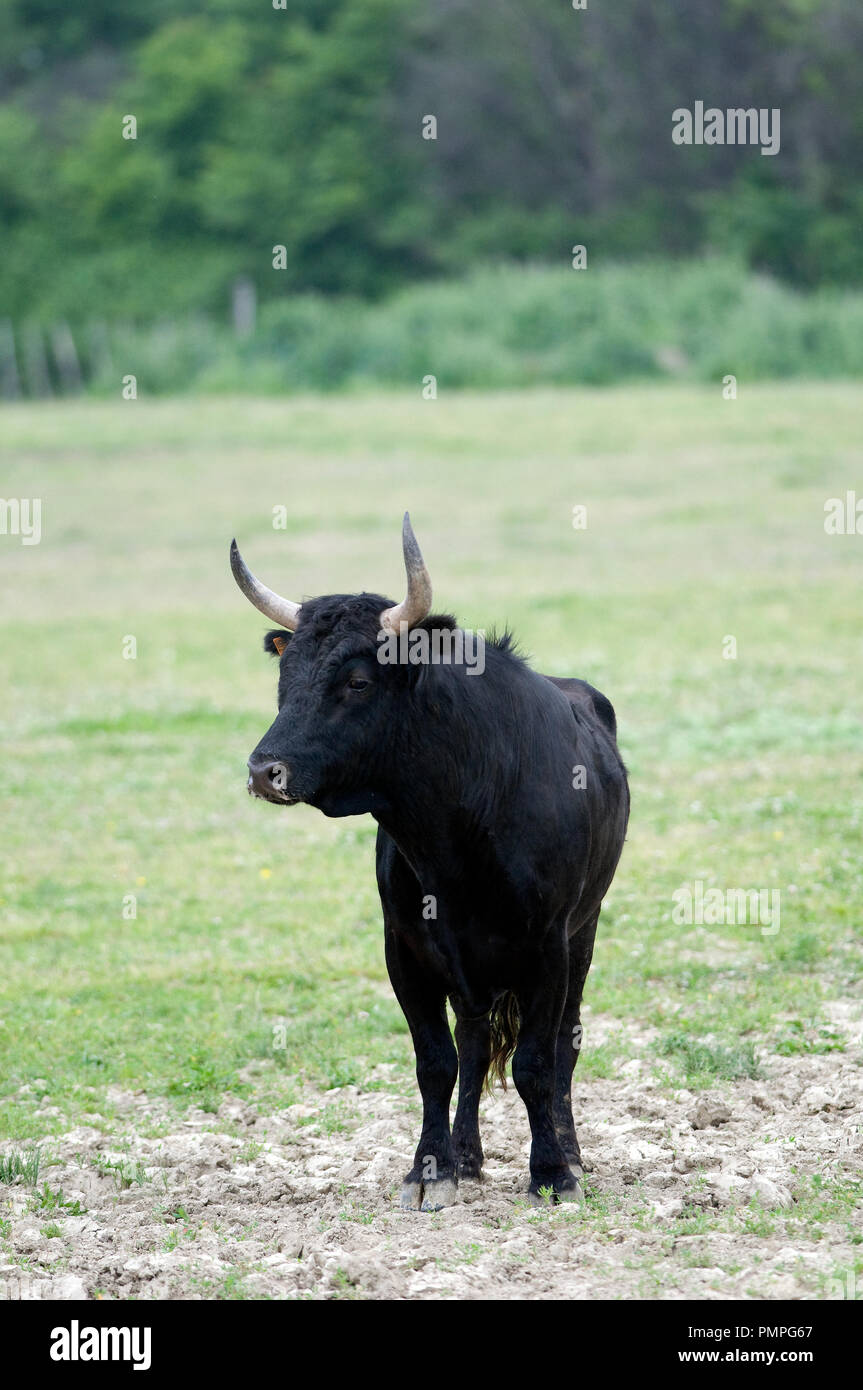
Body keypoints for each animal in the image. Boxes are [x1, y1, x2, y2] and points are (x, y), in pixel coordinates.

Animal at [232, 519, 628, 1206]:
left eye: (357, 681)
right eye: (286, 677)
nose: (264, 771)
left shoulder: (547, 947)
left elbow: (535, 1062)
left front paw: (551, 1173)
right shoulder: (406, 950)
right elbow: (435, 1062)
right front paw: (431, 1167)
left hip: (585, 931)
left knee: (564, 1044)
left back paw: (571, 1152)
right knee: (473, 1043)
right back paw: (467, 1155)